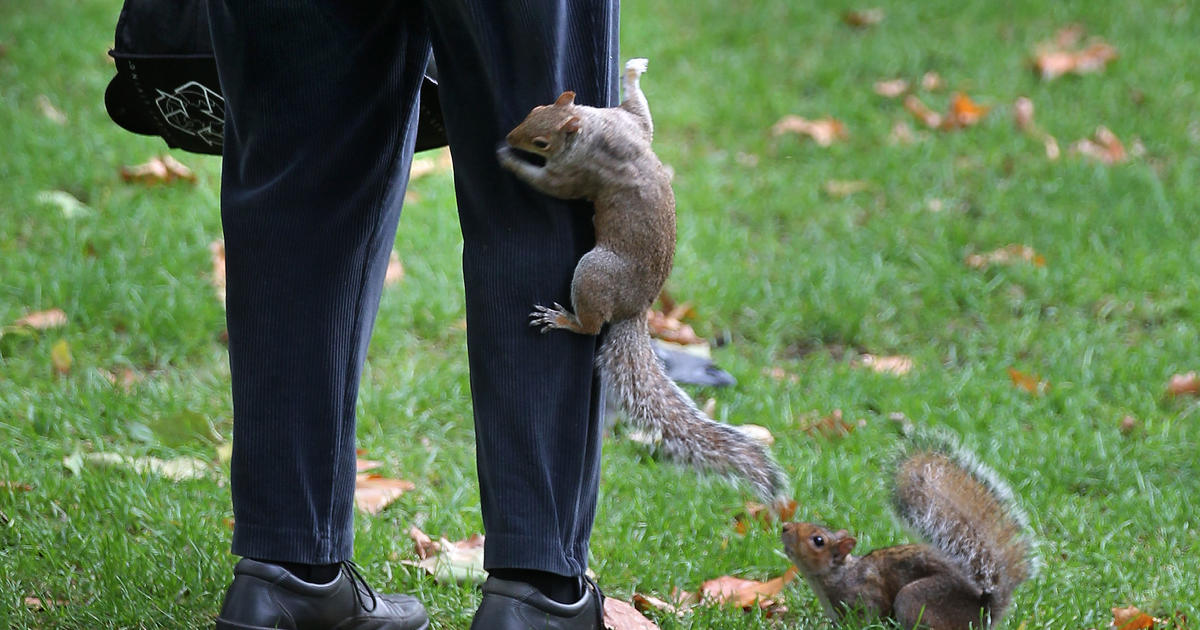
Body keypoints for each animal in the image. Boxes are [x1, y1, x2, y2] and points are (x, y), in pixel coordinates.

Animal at [496, 58, 787, 501]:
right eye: (535, 109)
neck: (594, 129)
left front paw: (509, 161)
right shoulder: (631, 124)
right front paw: (633, 72)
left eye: (542, 142)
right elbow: (643, 113)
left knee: (590, 325)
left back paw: (564, 320)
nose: (511, 137)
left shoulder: (576, 174)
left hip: (594, 272)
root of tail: (637, 309)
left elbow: (549, 184)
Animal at [782, 436, 1036, 628]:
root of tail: (984, 611)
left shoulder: (866, 596)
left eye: (818, 540)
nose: (785, 528)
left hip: (914, 599)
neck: (838, 576)